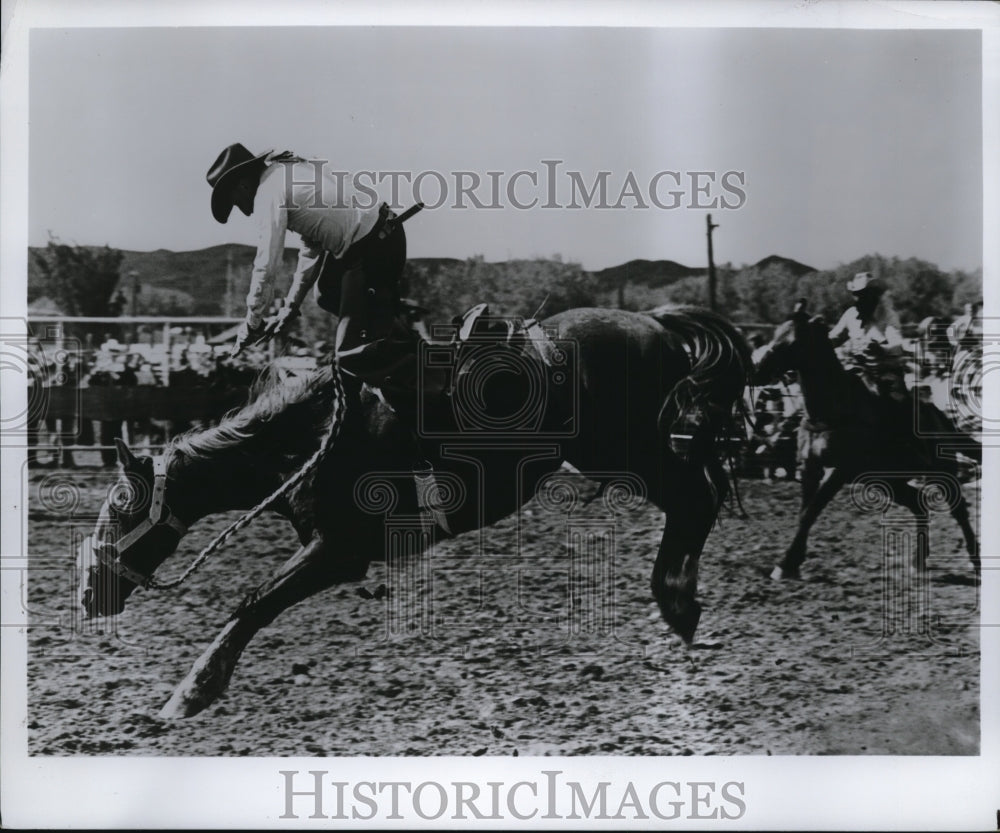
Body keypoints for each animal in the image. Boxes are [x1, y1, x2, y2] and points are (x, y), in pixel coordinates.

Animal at [78, 306, 752, 716]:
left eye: (122, 506)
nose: (89, 594)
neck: (315, 435)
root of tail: (656, 323)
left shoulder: (339, 550)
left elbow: (254, 602)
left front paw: (190, 692)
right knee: (696, 500)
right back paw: (679, 604)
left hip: (631, 453)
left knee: (698, 499)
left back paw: (678, 602)